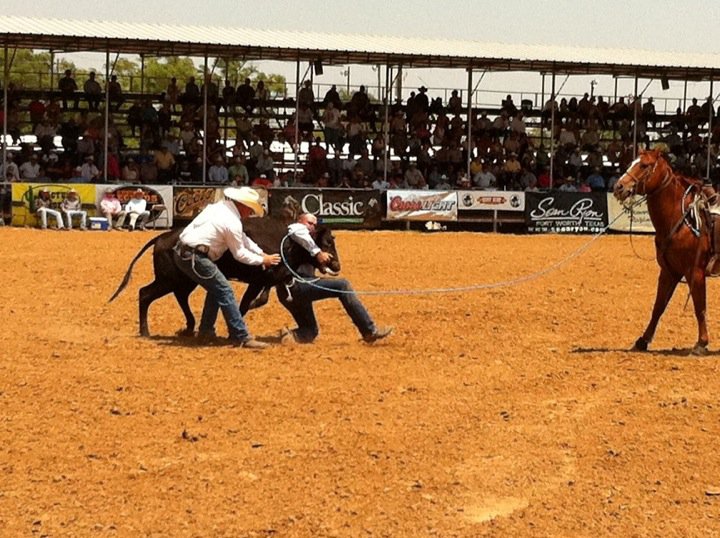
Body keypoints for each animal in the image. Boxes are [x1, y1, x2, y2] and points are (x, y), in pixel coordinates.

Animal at [612, 149, 716, 354]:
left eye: (644, 165)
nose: (619, 187)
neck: (680, 217)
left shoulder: (695, 272)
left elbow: (699, 307)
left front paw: (701, 343)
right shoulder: (669, 271)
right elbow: (659, 306)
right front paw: (642, 340)